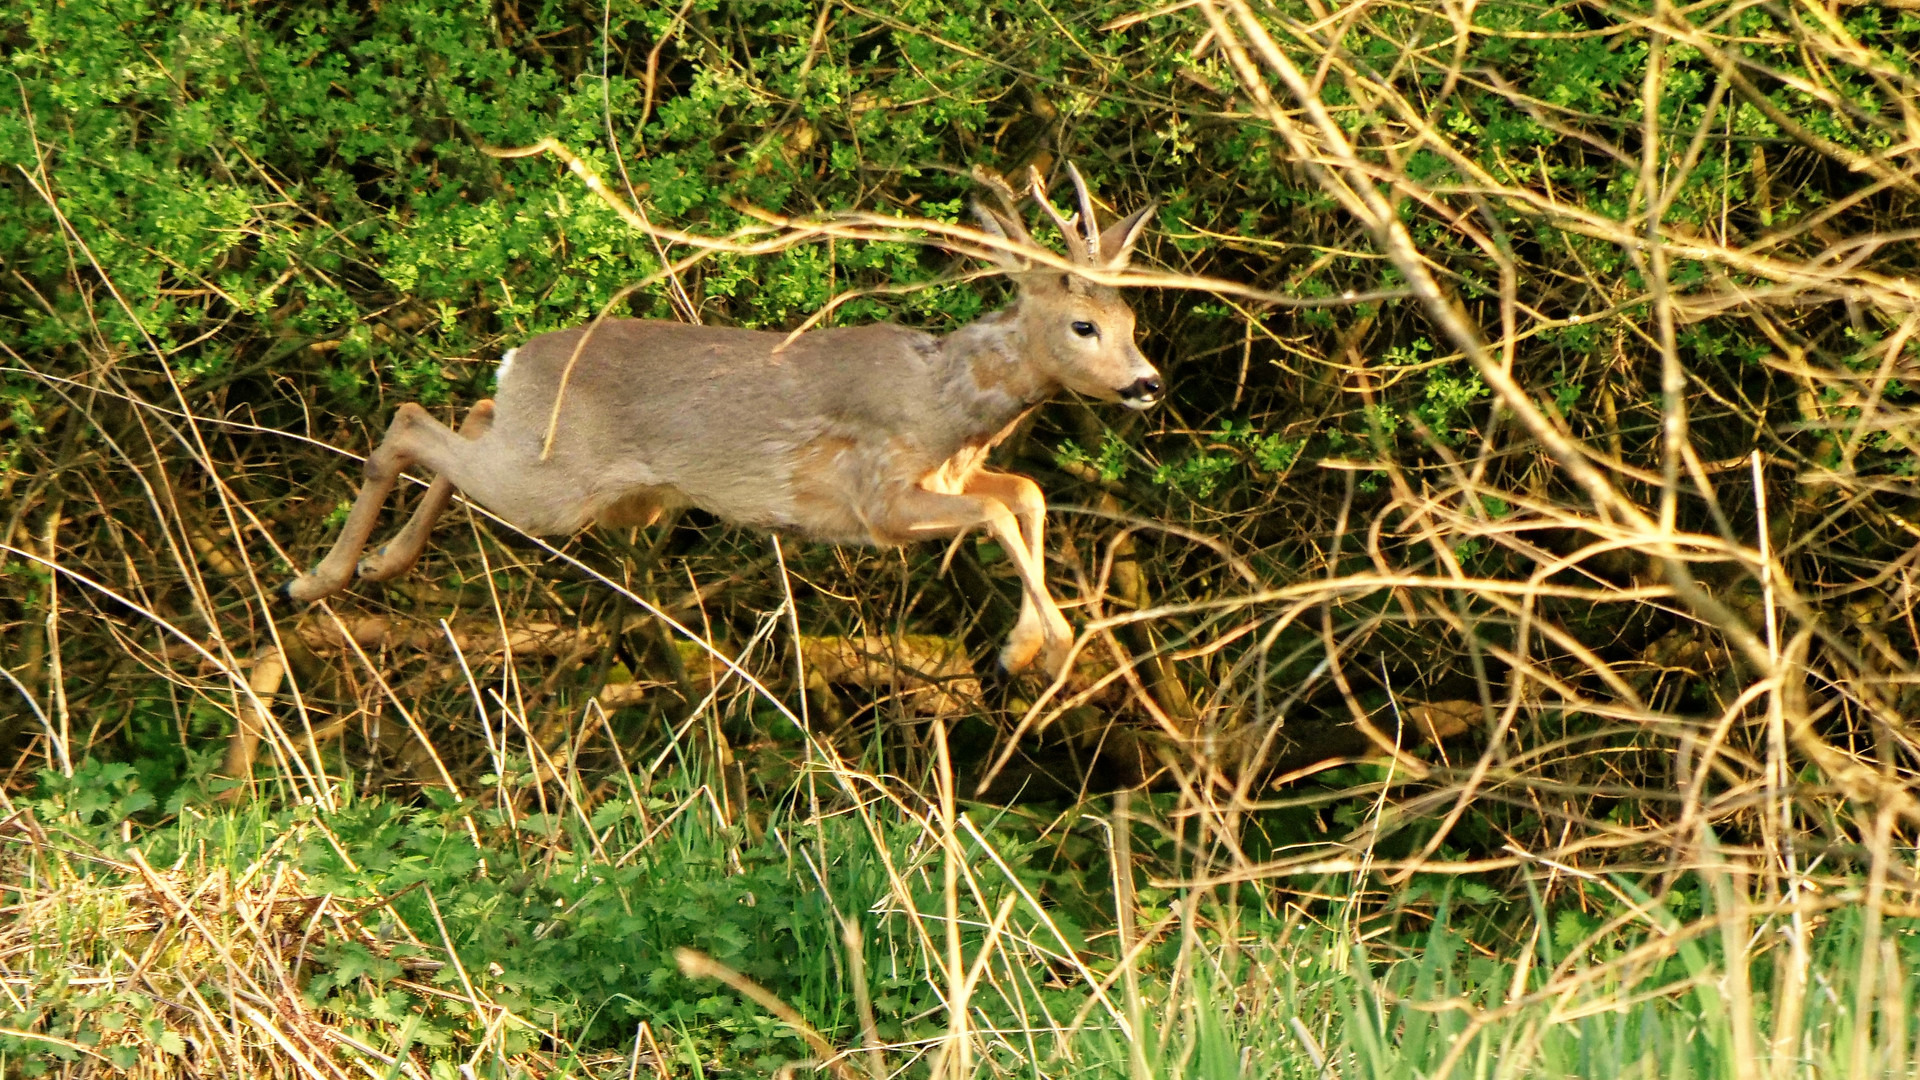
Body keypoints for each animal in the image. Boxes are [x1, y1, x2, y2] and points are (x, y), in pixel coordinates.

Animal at [282, 161, 1152, 672]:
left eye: (1133, 319)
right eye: (1084, 326)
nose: (1146, 383)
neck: (947, 405)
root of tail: (519, 355)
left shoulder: (945, 479)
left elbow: (1024, 495)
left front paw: (1031, 645)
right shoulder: (877, 499)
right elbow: (999, 510)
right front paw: (1042, 645)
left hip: (580, 480)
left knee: (468, 414)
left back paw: (376, 564)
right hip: (555, 489)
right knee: (408, 422)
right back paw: (319, 578)